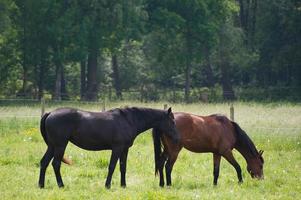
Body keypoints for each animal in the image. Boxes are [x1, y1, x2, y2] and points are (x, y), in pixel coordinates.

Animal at [37, 107, 178, 188]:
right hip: (60, 145)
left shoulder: (124, 149)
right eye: (172, 121)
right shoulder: (117, 148)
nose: (177, 138)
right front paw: (107, 185)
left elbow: (123, 167)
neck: (128, 120)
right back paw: (61, 185)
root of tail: (50, 113)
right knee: (56, 163)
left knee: (44, 162)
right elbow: (112, 166)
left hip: (52, 146)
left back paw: (41, 185)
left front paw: (123, 185)